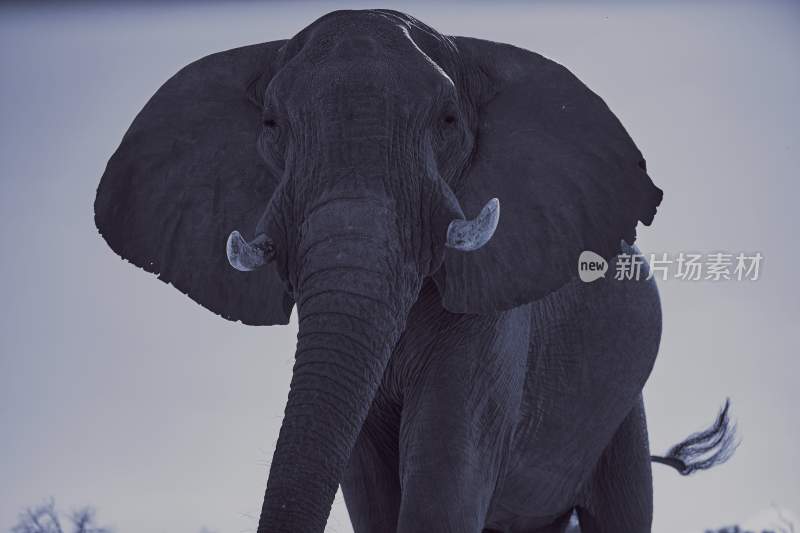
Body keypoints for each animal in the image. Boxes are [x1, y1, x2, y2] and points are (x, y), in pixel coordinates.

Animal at [94, 8, 736, 532]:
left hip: (622, 416)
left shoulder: (496, 321)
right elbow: (370, 486)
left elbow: (442, 485)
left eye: (448, 120)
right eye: (271, 125)